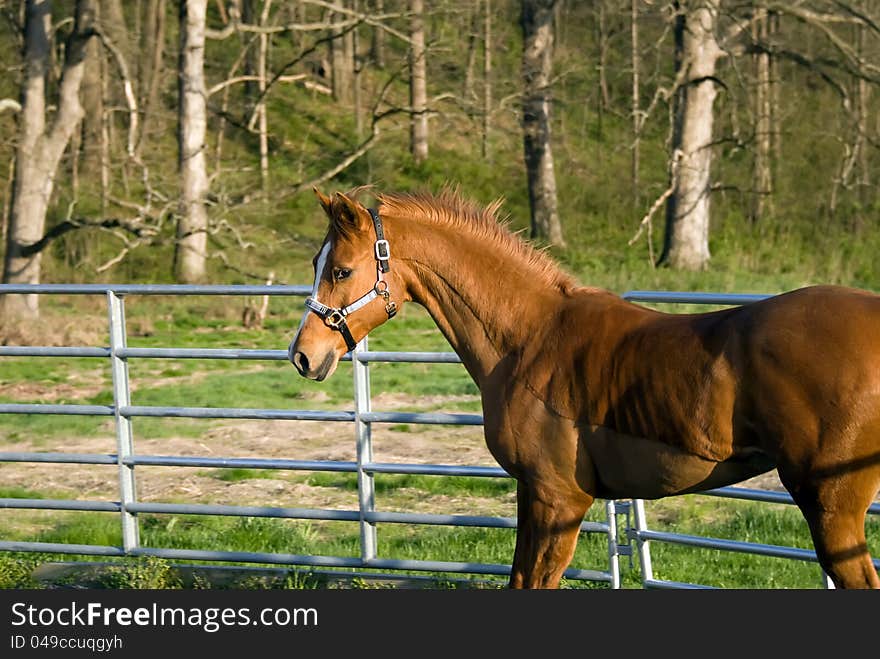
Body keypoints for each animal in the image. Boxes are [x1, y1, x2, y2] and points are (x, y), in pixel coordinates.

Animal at [288, 188, 880, 592]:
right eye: (317, 264)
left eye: (341, 270)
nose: (303, 356)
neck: (529, 337)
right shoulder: (533, 494)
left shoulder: (560, 499)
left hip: (830, 504)